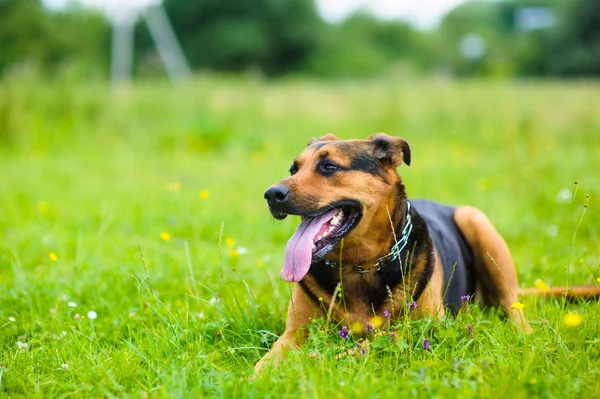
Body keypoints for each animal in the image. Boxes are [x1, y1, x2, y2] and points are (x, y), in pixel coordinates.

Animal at [254, 134, 600, 372]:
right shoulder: (292, 333)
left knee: (515, 308)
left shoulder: (424, 330)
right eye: (293, 168)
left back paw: (522, 335)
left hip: (477, 222)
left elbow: (359, 345)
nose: (271, 194)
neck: (358, 265)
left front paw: (312, 361)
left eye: (329, 166)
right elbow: (264, 362)